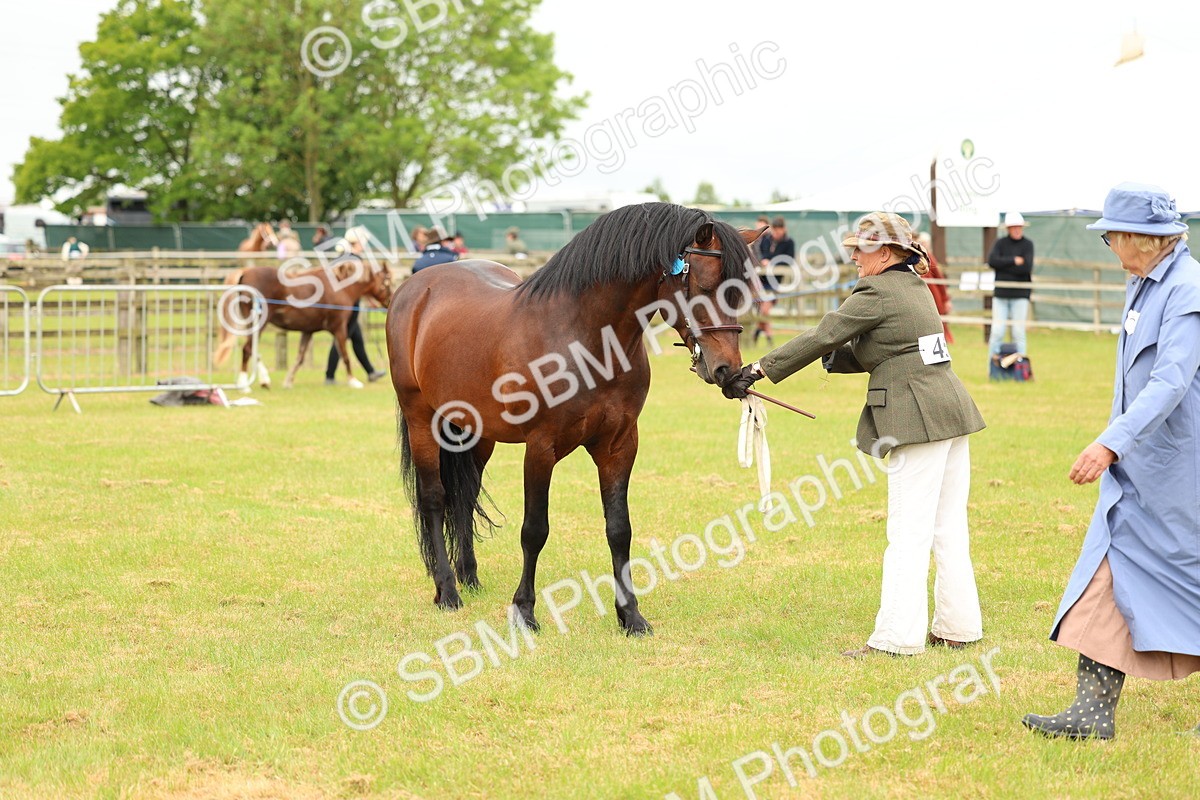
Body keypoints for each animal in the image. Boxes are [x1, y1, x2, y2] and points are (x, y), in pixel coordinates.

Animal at [214, 258, 393, 389]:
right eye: (387, 282)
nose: (390, 302)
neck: (341, 287)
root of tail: (246, 272)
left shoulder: (308, 331)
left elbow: (300, 358)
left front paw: (288, 381)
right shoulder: (339, 328)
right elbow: (345, 354)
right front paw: (353, 381)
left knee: (253, 350)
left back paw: (264, 380)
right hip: (260, 322)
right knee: (247, 349)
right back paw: (244, 382)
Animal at [386, 202, 764, 635]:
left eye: (741, 291)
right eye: (703, 285)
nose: (728, 371)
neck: (585, 338)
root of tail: (416, 287)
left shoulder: (619, 445)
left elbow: (619, 529)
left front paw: (631, 616)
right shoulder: (540, 447)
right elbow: (534, 530)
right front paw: (524, 611)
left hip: (476, 433)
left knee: (464, 496)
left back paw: (469, 576)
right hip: (422, 420)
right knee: (435, 498)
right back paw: (447, 590)